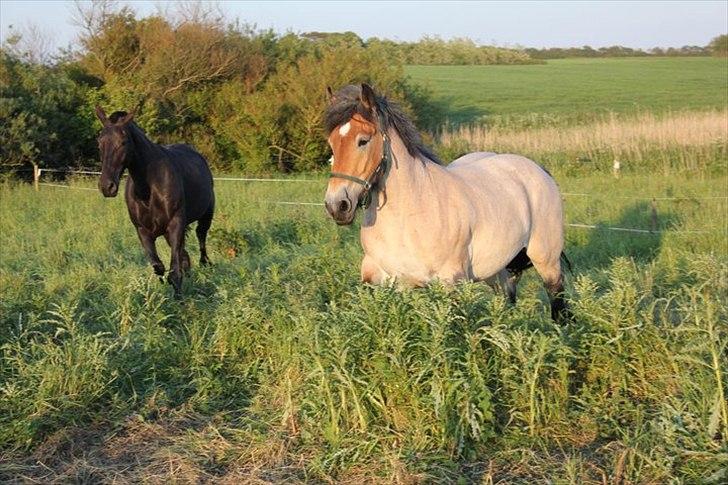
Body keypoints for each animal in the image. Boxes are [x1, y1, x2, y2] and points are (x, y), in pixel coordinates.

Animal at [94, 106, 213, 294]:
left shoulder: (175, 224)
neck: (149, 189)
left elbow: (174, 273)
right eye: (100, 143)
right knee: (184, 256)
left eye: (123, 142)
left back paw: (205, 265)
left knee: (201, 239)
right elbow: (159, 267)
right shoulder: (143, 231)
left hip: (206, 215)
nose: (107, 186)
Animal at [324, 84, 568, 322]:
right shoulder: (381, 279)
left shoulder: (450, 281)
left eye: (363, 141)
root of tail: (540, 170)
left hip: (547, 261)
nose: (337, 205)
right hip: (498, 271)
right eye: (332, 144)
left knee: (558, 304)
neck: (410, 214)